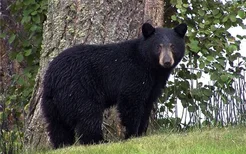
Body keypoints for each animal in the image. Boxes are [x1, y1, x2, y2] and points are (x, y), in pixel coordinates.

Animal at [41, 22, 187, 148]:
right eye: (158, 46)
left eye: (173, 46)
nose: (167, 61)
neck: (151, 66)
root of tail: (52, 77)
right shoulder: (133, 73)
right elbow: (131, 101)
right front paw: (131, 135)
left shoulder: (154, 84)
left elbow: (147, 104)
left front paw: (141, 133)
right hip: (79, 89)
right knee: (88, 115)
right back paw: (98, 141)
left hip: (51, 102)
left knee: (57, 125)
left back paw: (63, 144)